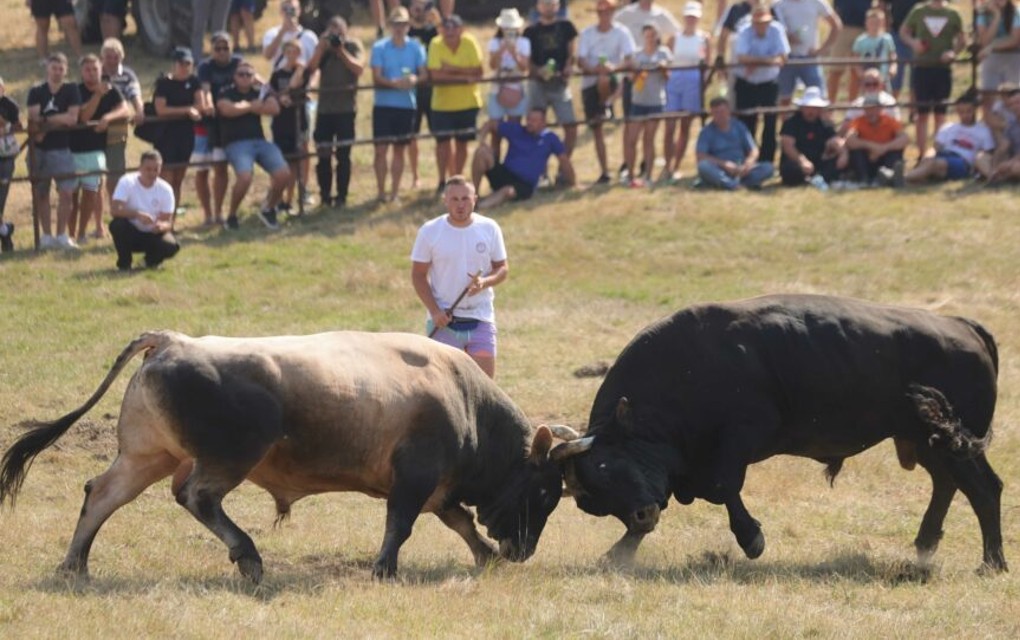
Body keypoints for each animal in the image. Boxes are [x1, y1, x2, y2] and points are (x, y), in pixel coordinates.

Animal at [550, 293, 1003, 571]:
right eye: (592, 499)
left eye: (610, 465)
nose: (643, 514)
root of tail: (963, 326)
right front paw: (618, 552)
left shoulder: (742, 436)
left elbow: (723, 488)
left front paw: (752, 539)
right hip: (931, 444)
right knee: (947, 484)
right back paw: (926, 547)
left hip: (956, 444)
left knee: (984, 489)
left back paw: (991, 563)